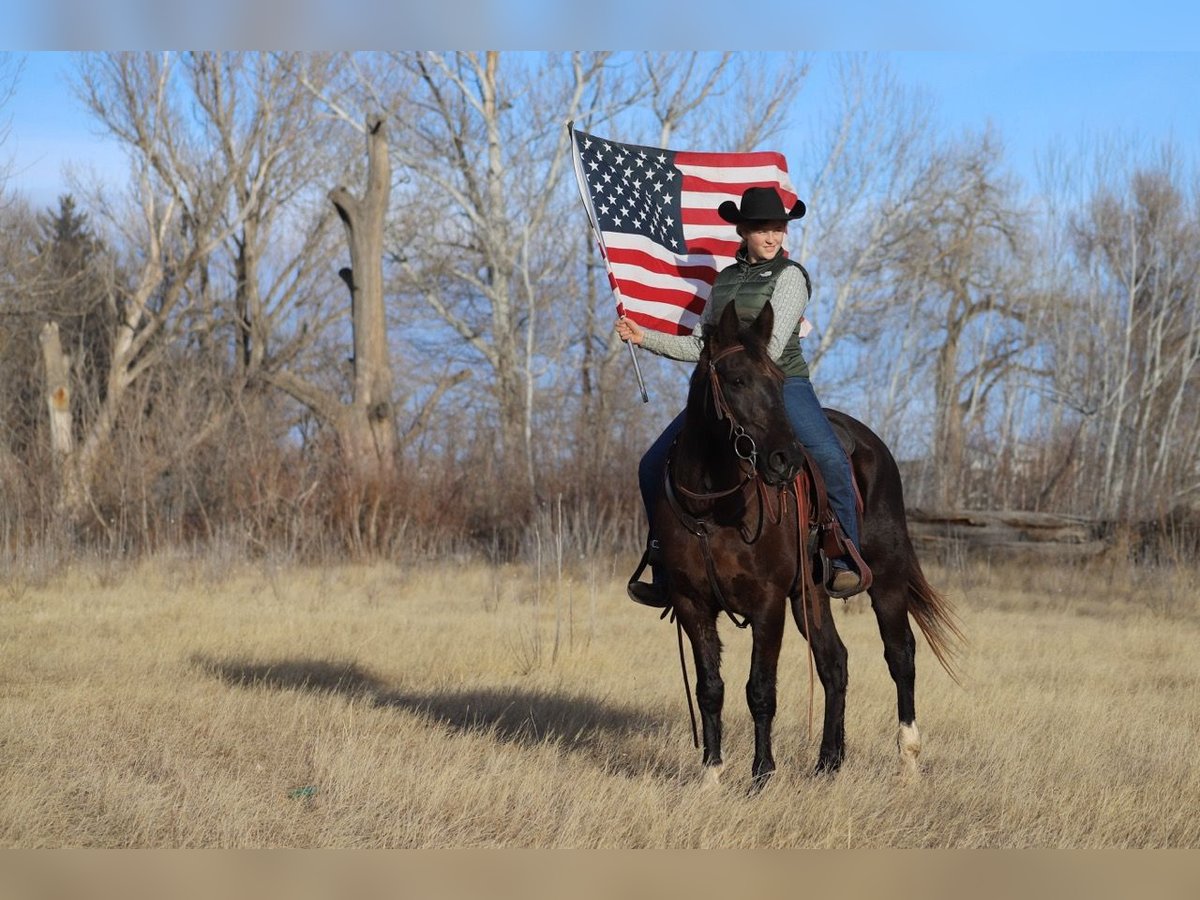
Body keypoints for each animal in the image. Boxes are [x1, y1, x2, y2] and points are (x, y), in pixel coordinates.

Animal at [652, 301, 960, 787]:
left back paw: (908, 758)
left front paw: (761, 775)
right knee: (834, 661)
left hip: (887, 579)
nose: (786, 459)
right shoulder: (691, 603)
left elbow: (760, 689)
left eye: (779, 380)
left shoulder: (767, 603)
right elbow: (710, 689)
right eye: (736, 380)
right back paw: (828, 761)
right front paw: (712, 775)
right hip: (810, 594)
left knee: (901, 655)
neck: (712, 509)